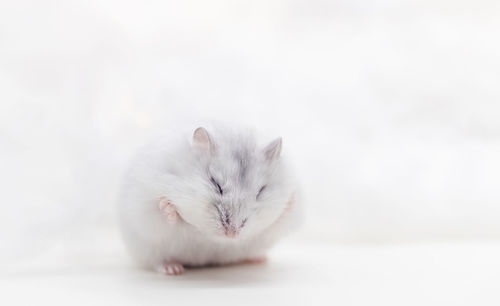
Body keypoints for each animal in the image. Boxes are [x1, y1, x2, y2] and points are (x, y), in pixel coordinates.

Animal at [117, 123, 302, 274]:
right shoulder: (146, 211)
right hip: (146, 250)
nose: (232, 234)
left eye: (260, 191)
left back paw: (258, 259)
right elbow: (165, 215)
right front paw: (167, 205)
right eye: (215, 183)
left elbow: (278, 221)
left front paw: (290, 202)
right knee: (157, 262)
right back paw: (173, 269)